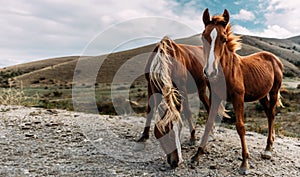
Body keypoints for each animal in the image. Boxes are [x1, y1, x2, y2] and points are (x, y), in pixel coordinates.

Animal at [137, 36, 211, 168]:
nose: (178, 161)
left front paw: (193, 137)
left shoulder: (182, 87)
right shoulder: (150, 85)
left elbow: (187, 112)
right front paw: (144, 135)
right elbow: (150, 110)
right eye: (166, 132)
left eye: (180, 128)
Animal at [191, 8, 284, 174]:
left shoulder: (238, 98)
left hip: (273, 91)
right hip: (261, 95)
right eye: (203, 37)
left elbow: (240, 127)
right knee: (268, 114)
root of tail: (274, 58)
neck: (227, 71)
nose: (210, 72)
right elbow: (209, 123)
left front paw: (245, 163)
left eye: (223, 39)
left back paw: (268, 149)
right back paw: (270, 144)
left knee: (272, 114)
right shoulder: (216, 97)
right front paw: (197, 155)